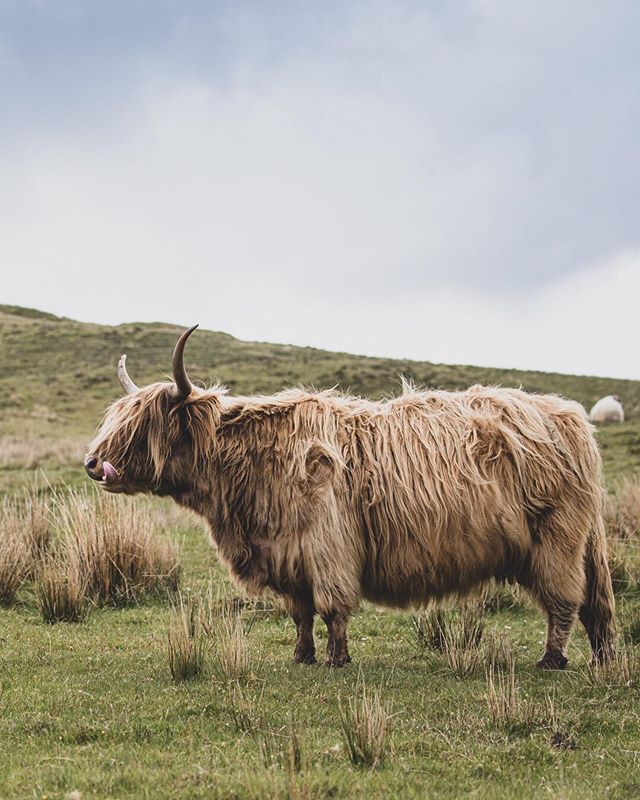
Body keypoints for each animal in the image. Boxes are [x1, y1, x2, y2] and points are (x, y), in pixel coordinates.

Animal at [85, 324, 616, 668]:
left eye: (140, 425)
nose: (92, 463)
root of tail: (566, 416)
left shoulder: (328, 546)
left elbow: (333, 607)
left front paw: (337, 659)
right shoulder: (288, 554)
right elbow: (299, 613)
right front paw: (302, 657)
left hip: (557, 540)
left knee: (564, 599)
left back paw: (552, 659)